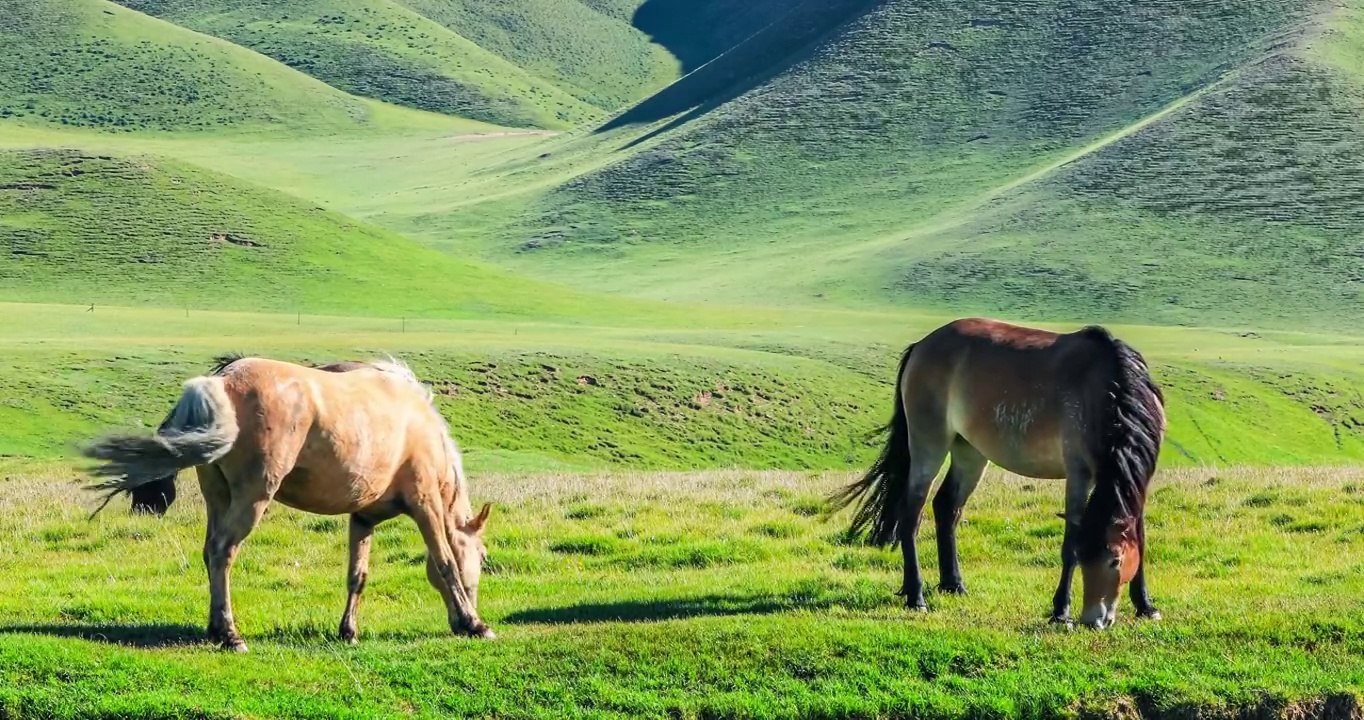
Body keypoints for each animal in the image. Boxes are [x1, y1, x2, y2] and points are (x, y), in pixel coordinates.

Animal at [82, 354, 496, 651]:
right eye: (482, 556)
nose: (462, 620)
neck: (420, 427)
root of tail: (221, 381)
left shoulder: (362, 518)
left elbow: (357, 576)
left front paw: (348, 631)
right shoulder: (426, 505)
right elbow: (445, 563)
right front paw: (475, 624)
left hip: (218, 497)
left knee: (208, 551)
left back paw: (215, 628)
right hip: (253, 498)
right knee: (222, 551)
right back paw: (231, 635)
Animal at [823, 317, 1167, 627]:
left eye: (1115, 560)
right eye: (1086, 558)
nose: (1093, 621)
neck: (1109, 393)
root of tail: (920, 346)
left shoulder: (1141, 483)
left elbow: (1140, 538)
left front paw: (1146, 606)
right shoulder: (1079, 473)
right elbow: (1069, 542)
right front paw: (1060, 613)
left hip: (969, 451)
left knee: (946, 507)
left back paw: (953, 584)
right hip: (928, 444)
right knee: (911, 514)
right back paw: (915, 596)